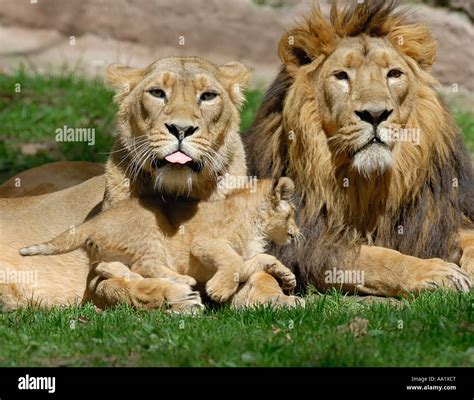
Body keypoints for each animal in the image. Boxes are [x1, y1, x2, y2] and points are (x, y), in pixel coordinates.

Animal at [244, 0, 474, 296]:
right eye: (341, 76)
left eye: (394, 74)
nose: (375, 114)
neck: (366, 185)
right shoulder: (309, 244)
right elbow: (375, 257)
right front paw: (436, 272)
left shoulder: (439, 219)